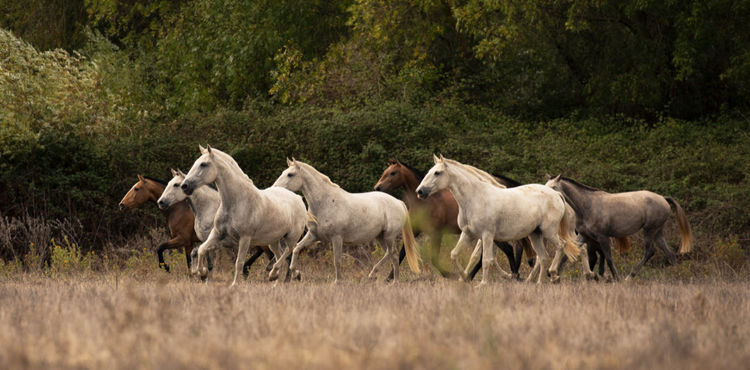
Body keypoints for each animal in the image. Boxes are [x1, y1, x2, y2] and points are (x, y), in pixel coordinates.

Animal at [181, 146, 306, 288]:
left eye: (203, 164)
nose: (184, 186)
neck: (236, 201)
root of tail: (298, 198)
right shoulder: (217, 233)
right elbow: (201, 249)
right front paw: (202, 272)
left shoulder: (245, 238)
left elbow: (239, 262)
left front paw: (234, 285)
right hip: (273, 241)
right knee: (280, 255)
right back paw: (275, 281)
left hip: (291, 237)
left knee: (288, 251)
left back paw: (276, 274)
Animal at [274, 159, 424, 284]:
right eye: (283, 173)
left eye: (290, 174)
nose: (275, 188)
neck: (325, 202)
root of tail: (398, 202)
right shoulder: (313, 235)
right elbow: (296, 249)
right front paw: (296, 274)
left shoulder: (336, 238)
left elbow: (337, 261)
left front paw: (337, 282)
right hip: (380, 237)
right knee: (390, 254)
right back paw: (379, 277)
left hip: (389, 236)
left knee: (393, 254)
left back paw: (389, 280)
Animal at [376, 159, 536, 280]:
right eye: (384, 172)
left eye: (393, 173)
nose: (378, 187)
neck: (428, 202)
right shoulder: (415, 231)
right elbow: (402, 253)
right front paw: (389, 278)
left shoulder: (437, 233)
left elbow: (434, 258)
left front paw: (449, 275)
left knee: (509, 249)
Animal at [414, 155, 584, 284]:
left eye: (437, 173)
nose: (420, 191)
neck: (475, 198)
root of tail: (556, 194)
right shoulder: (467, 234)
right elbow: (454, 254)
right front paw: (463, 278)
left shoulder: (487, 235)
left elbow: (486, 260)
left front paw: (483, 284)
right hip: (535, 234)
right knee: (542, 257)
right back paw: (538, 283)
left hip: (549, 232)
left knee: (561, 246)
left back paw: (553, 274)